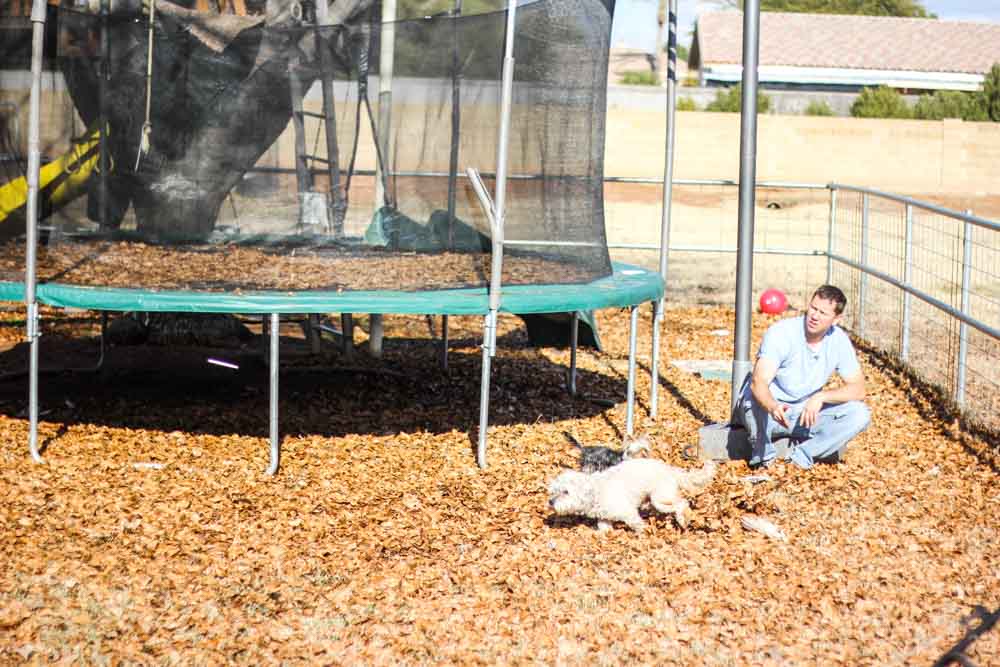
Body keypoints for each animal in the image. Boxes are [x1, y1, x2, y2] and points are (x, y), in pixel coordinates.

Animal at [548, 460, 720, 532]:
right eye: (554, 490)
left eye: (566, 492)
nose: (550, 502)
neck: (595, 491)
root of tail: (669, 469)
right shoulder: (604, 517)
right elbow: (604, 528)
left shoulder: (628, 513)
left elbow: (636, 524)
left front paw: (642, 533)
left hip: (660, 498)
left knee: (681, 503)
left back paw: (682, 520)